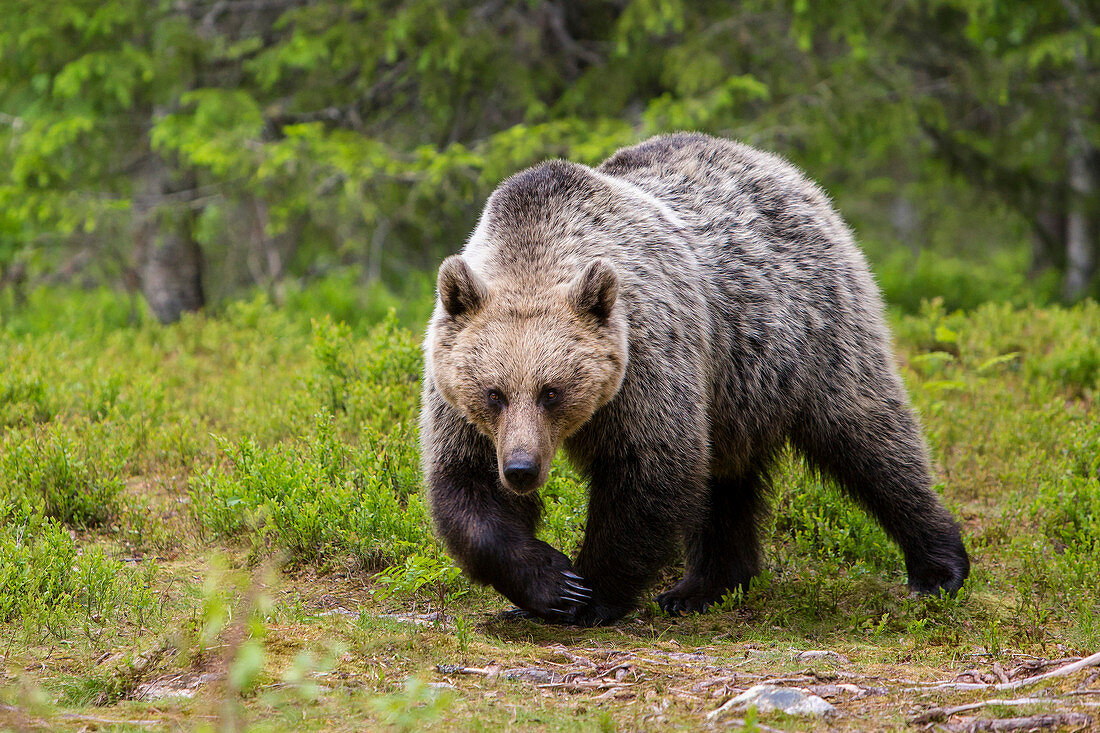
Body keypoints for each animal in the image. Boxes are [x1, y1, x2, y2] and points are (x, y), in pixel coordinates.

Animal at [418, 131, 972, 620]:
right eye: (495, 392)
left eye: (551, 391)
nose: (521, 469)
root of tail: (778, 167)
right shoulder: (456, 397)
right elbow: (467, 487)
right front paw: (549, 583)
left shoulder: (649, 361)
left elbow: (651, 469)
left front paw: (589, 594)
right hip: (738, 391)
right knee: (727, 482)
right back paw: (706, 586)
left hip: (812, 336)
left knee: (869, 437)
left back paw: (939, 566)